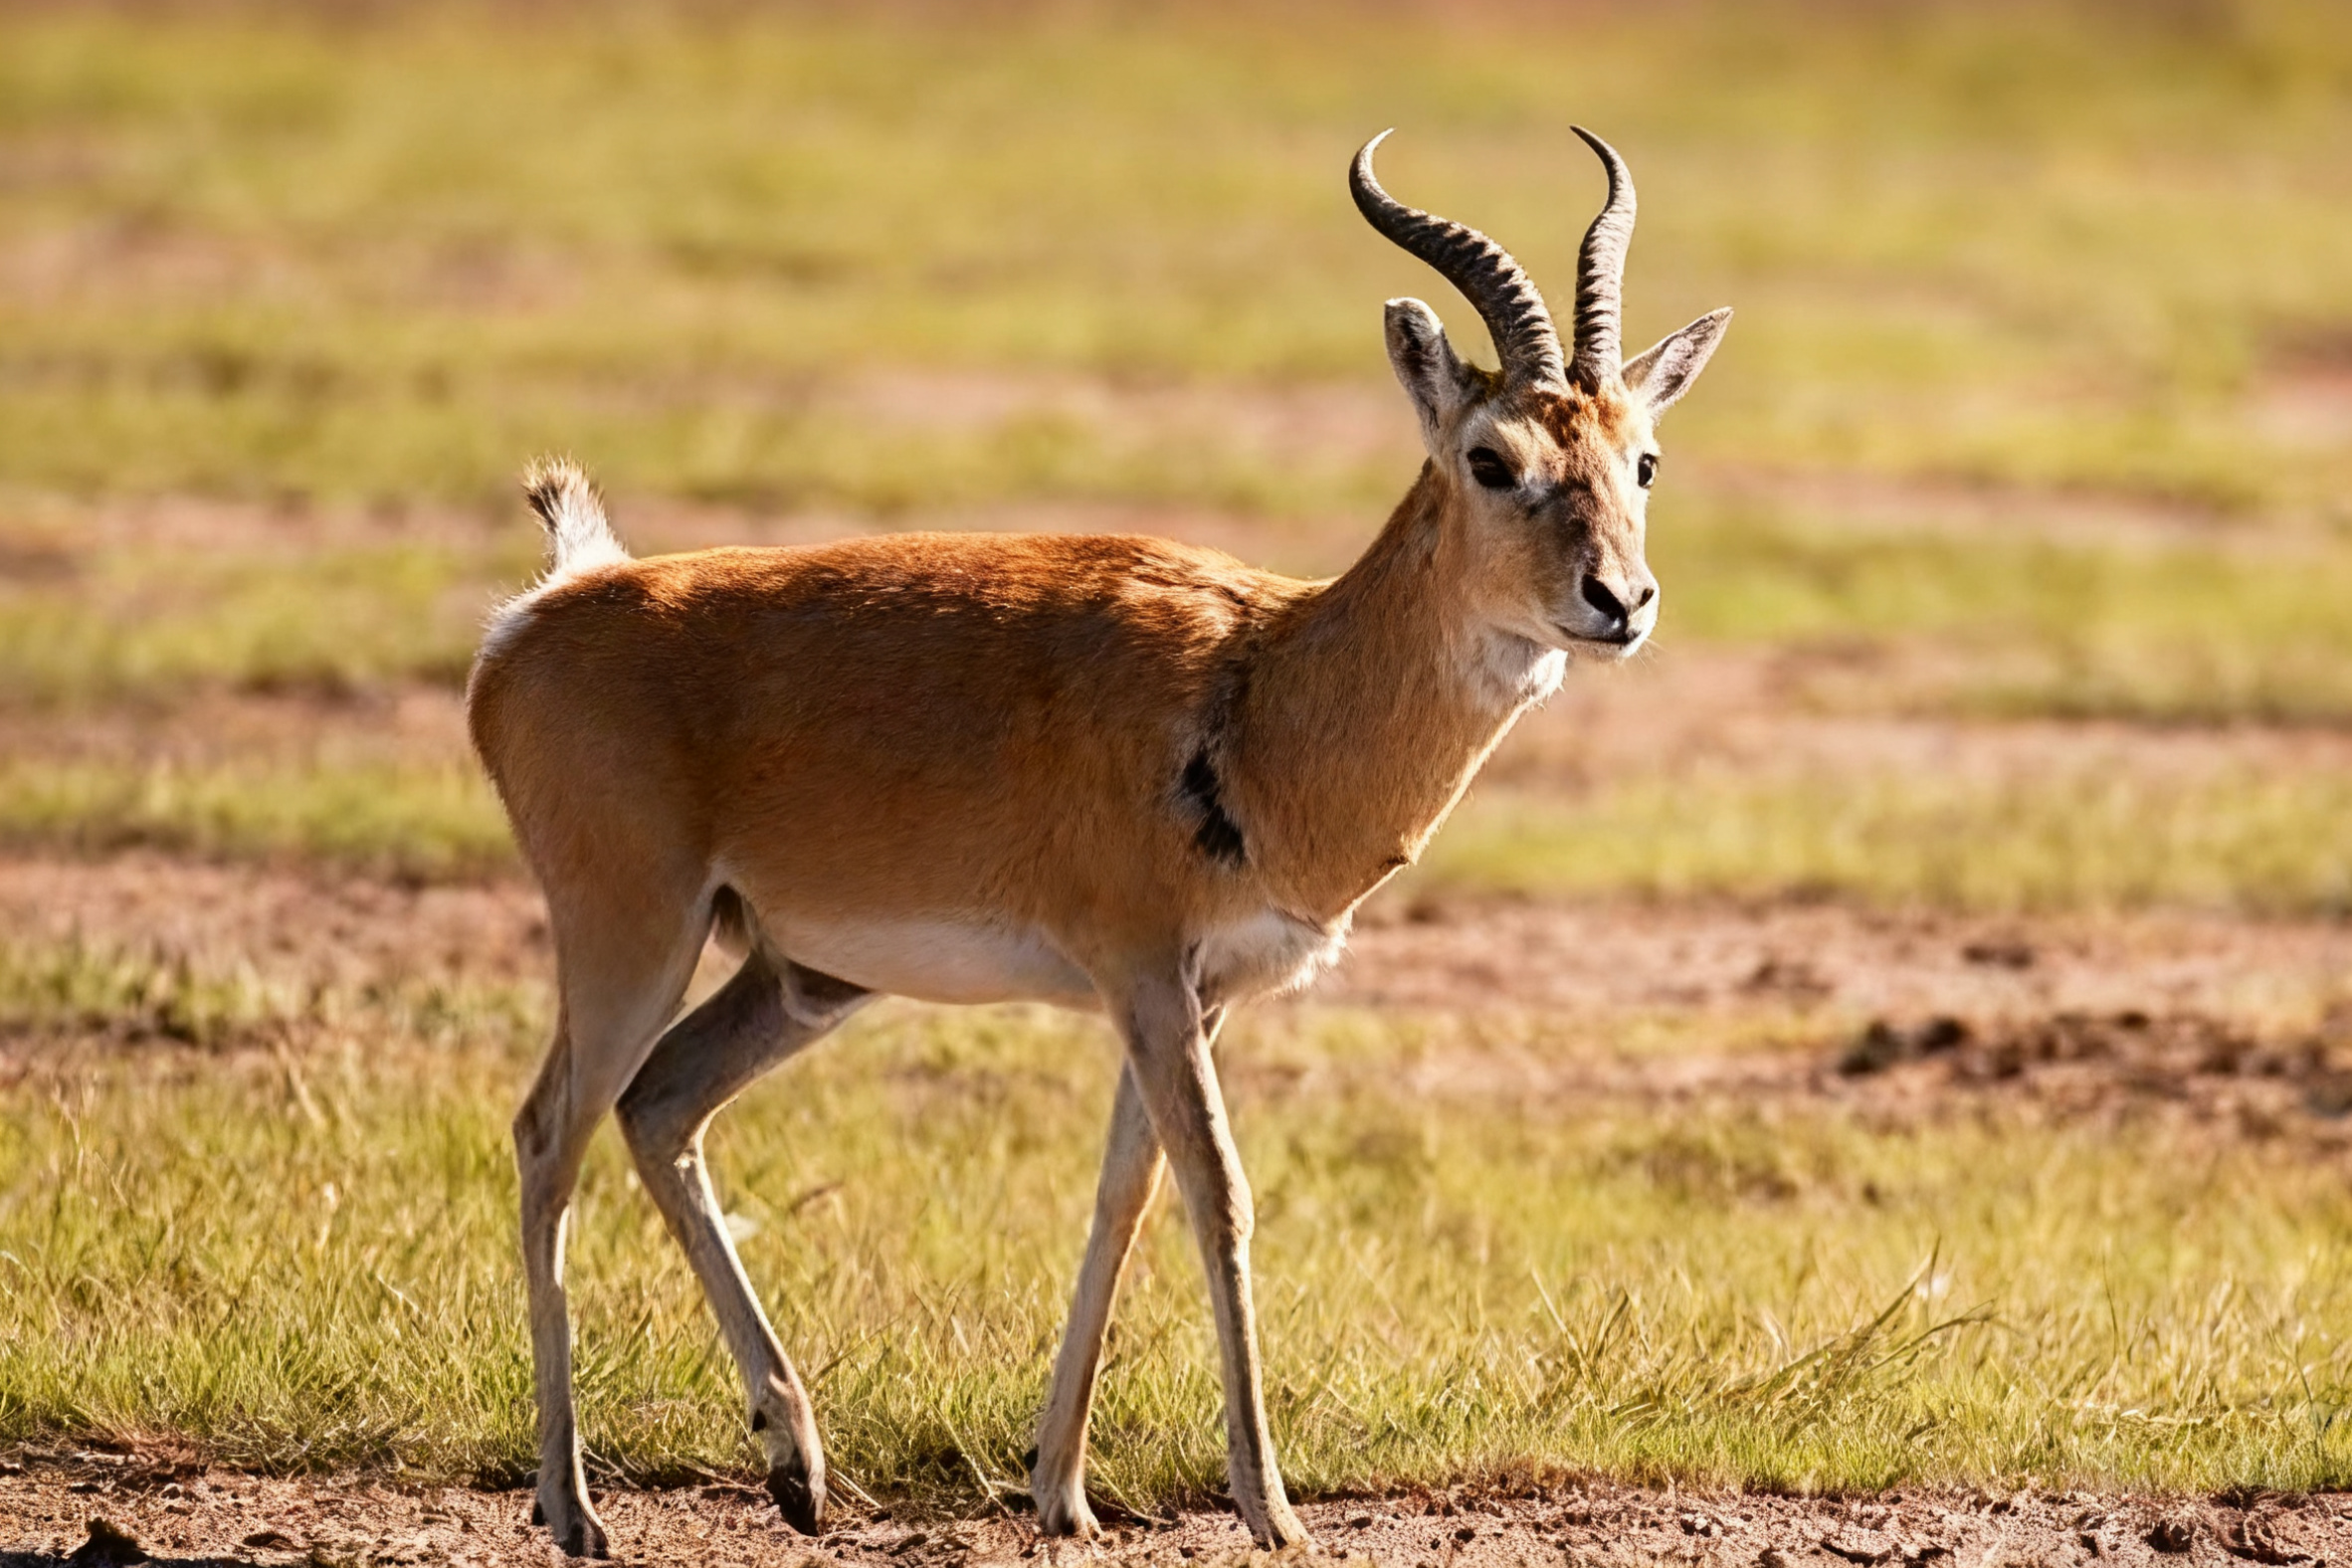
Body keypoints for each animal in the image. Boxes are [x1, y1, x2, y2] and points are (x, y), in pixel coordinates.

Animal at [468, 127, 1728, 1558]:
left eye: (1642, 459)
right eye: (1492, 457)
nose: (1619, 600)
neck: (1264, 689)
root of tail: (549, 607)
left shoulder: (1193, 993)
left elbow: (1127, 1189)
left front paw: (1060, 1489)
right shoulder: (1141, 973)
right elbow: (1218, 1190)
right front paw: (1271, 1508)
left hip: (798, 977)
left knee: (659, 1105)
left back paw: (795, 1463)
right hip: (632, 932)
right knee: (549, 1130)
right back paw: (572, 1507)